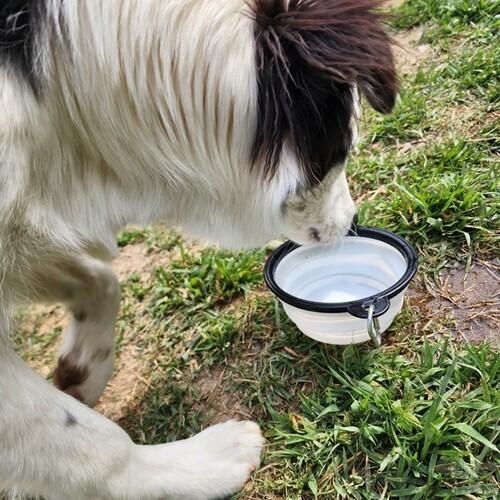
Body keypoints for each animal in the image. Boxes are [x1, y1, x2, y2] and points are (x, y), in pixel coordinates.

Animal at [0, 1, 398, 498]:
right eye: (341, 147)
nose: (354, 221)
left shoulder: (24, 227)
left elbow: (101, 280)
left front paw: (81, 372)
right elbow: (80, 436)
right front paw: (202, 464)